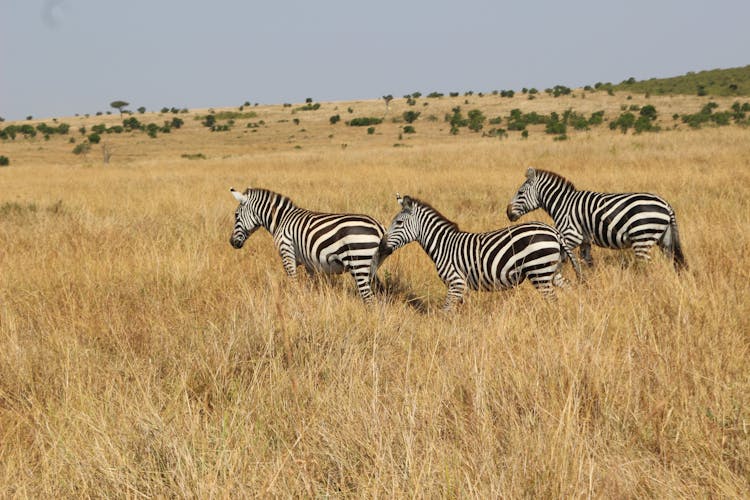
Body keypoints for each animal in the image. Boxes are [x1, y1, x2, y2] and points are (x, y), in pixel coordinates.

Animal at [231, 188, 390, 302]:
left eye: (236, 215)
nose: (231, 242)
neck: (281, 220)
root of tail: (378, 226)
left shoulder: (287, 252)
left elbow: (293, 282)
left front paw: (295, 302)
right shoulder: (309, 263)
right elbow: (310, 286)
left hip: (358, 263)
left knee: (368, 297)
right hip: (371, 265)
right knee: (379, 292)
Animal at [378, 194, 584, 308]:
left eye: (399, 222)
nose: (381, 246)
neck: (443, 245)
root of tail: (554, 232)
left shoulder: (456, 282)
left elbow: (446, 312)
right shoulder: (462, 287)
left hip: (539, 270)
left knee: (553, 299)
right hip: (552, 271)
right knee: (569, 290)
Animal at [506, 167, 688, 270]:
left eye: (520, 193)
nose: (508, 213)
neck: (563, 203)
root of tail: (666, 204)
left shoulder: (571, 235)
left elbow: (562, 260)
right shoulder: (585, 240)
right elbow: (587, 263)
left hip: (642, 237)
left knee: (646, 266)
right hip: (665, 239)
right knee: (674, 262)